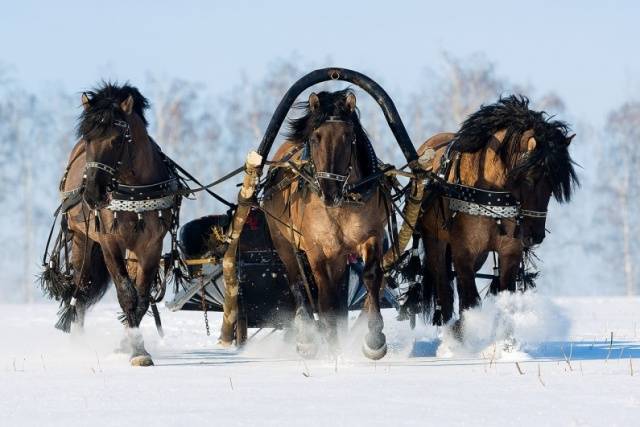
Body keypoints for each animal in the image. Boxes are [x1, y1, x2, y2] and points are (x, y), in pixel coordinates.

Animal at [40, 83, 180, 368]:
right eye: (88, 139)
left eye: (116, 140)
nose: (93, 193)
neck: (134, 191)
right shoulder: (109, 243)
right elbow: (126, 293)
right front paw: (137, 350)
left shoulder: (151, 246)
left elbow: (141, 296)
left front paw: (133, 346)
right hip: (82, 240)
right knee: (81, 290)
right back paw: (78, 344)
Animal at [262, 90, 390, 362]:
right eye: (315, 137)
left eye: (348, 136)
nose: (329, 192)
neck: (342, 203)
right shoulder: (316, 248)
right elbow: (324, 294)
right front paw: (330, 347)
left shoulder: (371, 235)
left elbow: (370, 276)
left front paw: (374, 340)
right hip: (284, 243)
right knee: (298, 282)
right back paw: (307, 338)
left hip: (339, 255)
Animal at [416, 96, 580, 332]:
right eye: (530, 177)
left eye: (553, 183)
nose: (535, 236)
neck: (491, 193)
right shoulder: (463, 252)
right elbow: (469, 300)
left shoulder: (510, 252)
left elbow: (504, 299)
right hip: (435, 242)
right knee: (444, 291)